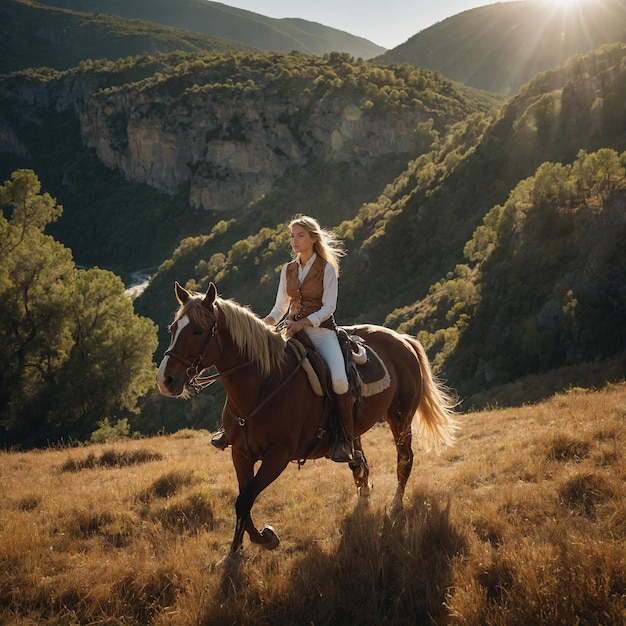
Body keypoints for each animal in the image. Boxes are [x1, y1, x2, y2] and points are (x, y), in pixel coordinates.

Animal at [156, 280, 456, 552]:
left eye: (198, 331)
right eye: (173, 329)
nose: (165, 380)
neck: (264, 384)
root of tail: (403, 340)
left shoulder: (278, 455)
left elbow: (247, 497)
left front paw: (262, 539)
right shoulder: (240, 452)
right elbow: (243, 499)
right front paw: (238, 549)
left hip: (400, 417)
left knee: (404, 459)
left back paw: (395, 504)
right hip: (356, 431)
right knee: (359, 465)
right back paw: (363, 504)